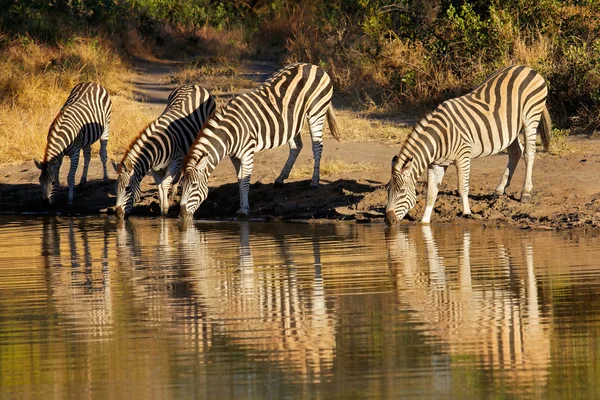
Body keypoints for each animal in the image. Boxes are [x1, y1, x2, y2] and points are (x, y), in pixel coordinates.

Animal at [112, 84, 216, 219]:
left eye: (128, 188)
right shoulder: (154, 168)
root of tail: (193, 85)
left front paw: (165, 210)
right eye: (115, 188)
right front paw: (161, 211)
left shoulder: (174, 161)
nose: (118, 214)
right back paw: (174, 189)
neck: (156, 147)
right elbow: (159, 186)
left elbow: (164, 184)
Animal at [176, 62, 340, 219]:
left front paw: (245, 210)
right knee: (297, 146)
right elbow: (239, 180)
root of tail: (314, 66)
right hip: (292, 121)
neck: (229, 134)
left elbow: (245, 181)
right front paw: (241, 207)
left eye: (194, 185)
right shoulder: (234, 157)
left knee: (317, 146)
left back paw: (314, 181)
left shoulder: (247, 152)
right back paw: (280, 179)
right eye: (181, 186)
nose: (182, 215)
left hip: (316, 112)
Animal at [386, 65, 552, 225]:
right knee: (516, 152)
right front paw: (424, 223)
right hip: (510, 128)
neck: (439, 138)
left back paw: (525, 192)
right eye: (387, 191)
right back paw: (500, 189)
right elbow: (431, 193)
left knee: (529, 153)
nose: (388, 220)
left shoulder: (463, 157)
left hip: (530, 117)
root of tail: (527, 68)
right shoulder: (437, 164)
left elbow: (462, 187)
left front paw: (467, 212)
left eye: (402, 192)